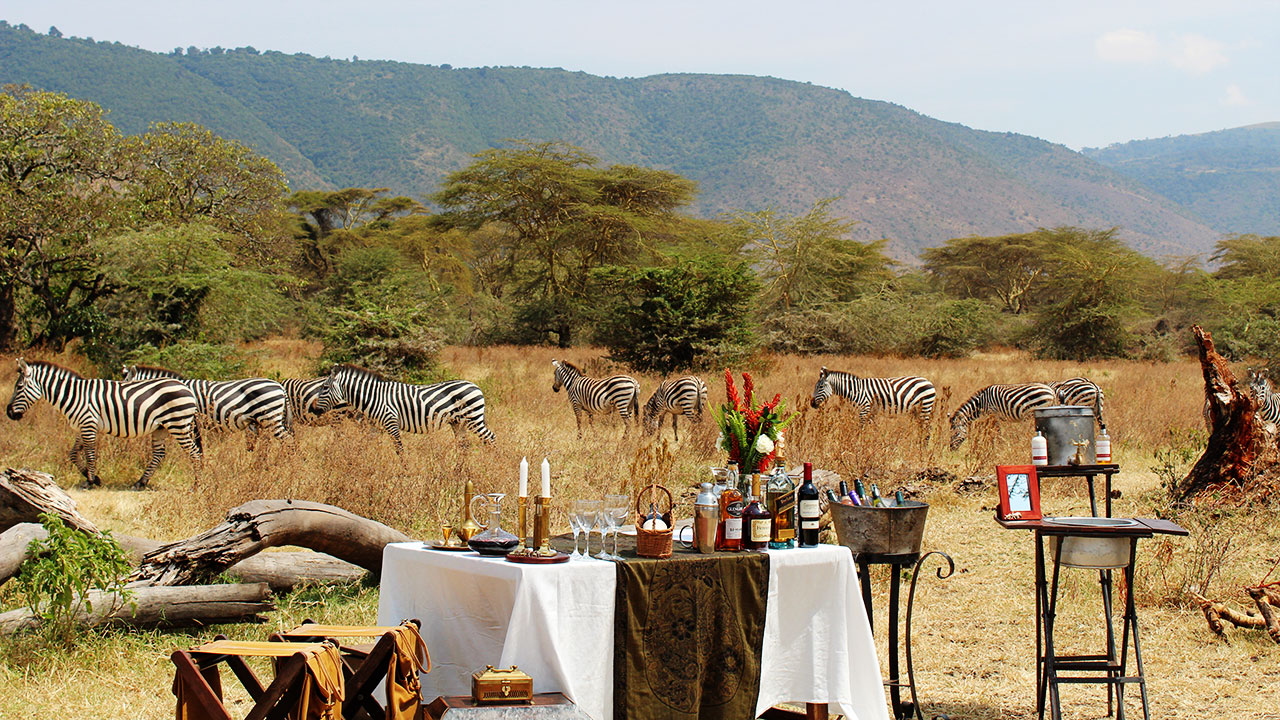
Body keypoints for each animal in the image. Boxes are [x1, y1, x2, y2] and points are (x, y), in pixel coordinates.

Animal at [5, 353, 200, 484]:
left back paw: (197, 485)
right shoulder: (81, 426)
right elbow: (73, 454)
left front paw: (91, 481)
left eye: (19, 387)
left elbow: (90, 454)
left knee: (194, 453)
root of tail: (186, 387)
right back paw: (140, 482)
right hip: (161, 428)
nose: (8, 413)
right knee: (159, 454)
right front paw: (92, 477)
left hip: (179, 425)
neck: (74, 395)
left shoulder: (88, 424)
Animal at [313, 361, 494, 450]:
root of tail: (475, 385)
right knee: (464, 445)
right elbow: (367, 446)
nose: (315, 410)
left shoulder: (390, 421)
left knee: (490, 438)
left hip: (473, 419)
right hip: (458, 423)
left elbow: (399, 448)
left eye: (325, 387)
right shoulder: (375, 427)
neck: (373, 397)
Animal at [808, 366, 942, 422]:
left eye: (820, 387)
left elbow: (861, 428)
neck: (856, 390)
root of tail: (928, 381)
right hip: (917, 410)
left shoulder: (865, 410)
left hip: (925, 407)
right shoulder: (871, 412)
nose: (812, 404)